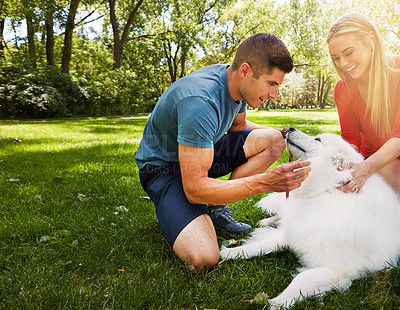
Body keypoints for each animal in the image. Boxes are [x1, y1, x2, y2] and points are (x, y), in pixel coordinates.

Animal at [220, 128, 400, 308]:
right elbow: (259, 245)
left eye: (317, 139)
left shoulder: (341, 269)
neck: (325, 192)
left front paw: (279, 301)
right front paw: (230, 253)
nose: (290, 129)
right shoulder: (293, 233)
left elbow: (303, 278)